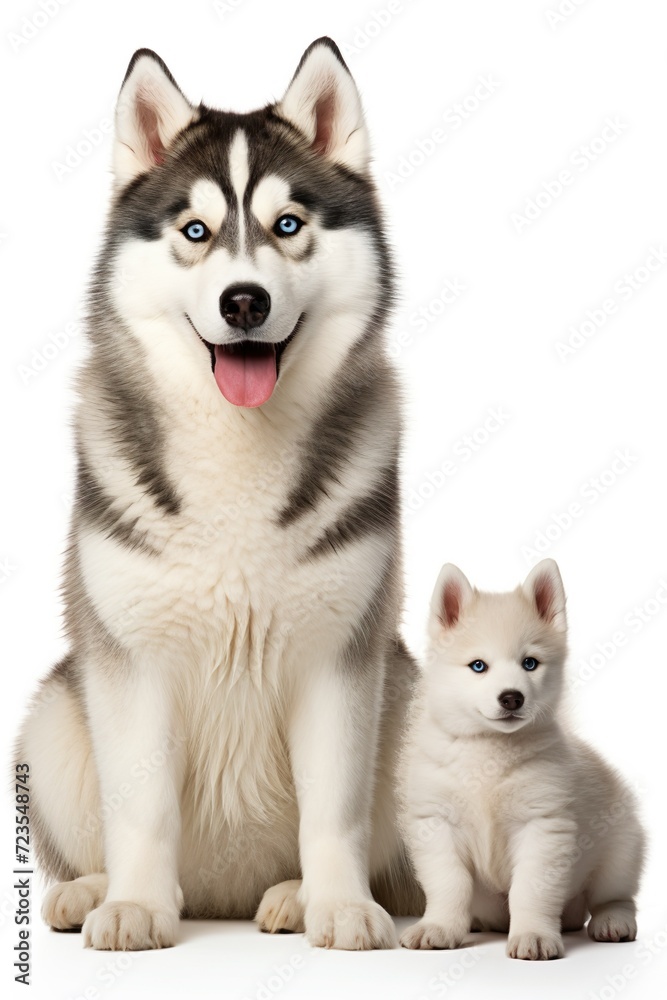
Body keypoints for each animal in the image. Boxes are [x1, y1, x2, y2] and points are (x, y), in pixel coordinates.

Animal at [17, 39, 422, 948]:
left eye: (288, 224)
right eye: (195, 231)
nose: (244, 301)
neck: (240, 446)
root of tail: (221, 897)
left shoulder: (339, 658)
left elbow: (333, 808)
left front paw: (340, 906)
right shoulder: (130, 662)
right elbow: (141, 809)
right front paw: (134, 904)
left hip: (415, 691)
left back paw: (295, 897)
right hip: (54, 713)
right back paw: (86, 890)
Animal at [400, 560, 644, 956]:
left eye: (530, 663)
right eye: (478, 666)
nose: (512, 697)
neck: (490, 752)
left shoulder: (543, 826)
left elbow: (530, 889)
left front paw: (533, 934)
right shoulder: (437, 824)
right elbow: (449, 884)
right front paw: (439, 927)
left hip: (621, 850)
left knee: (616, 897)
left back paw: (613, 922)